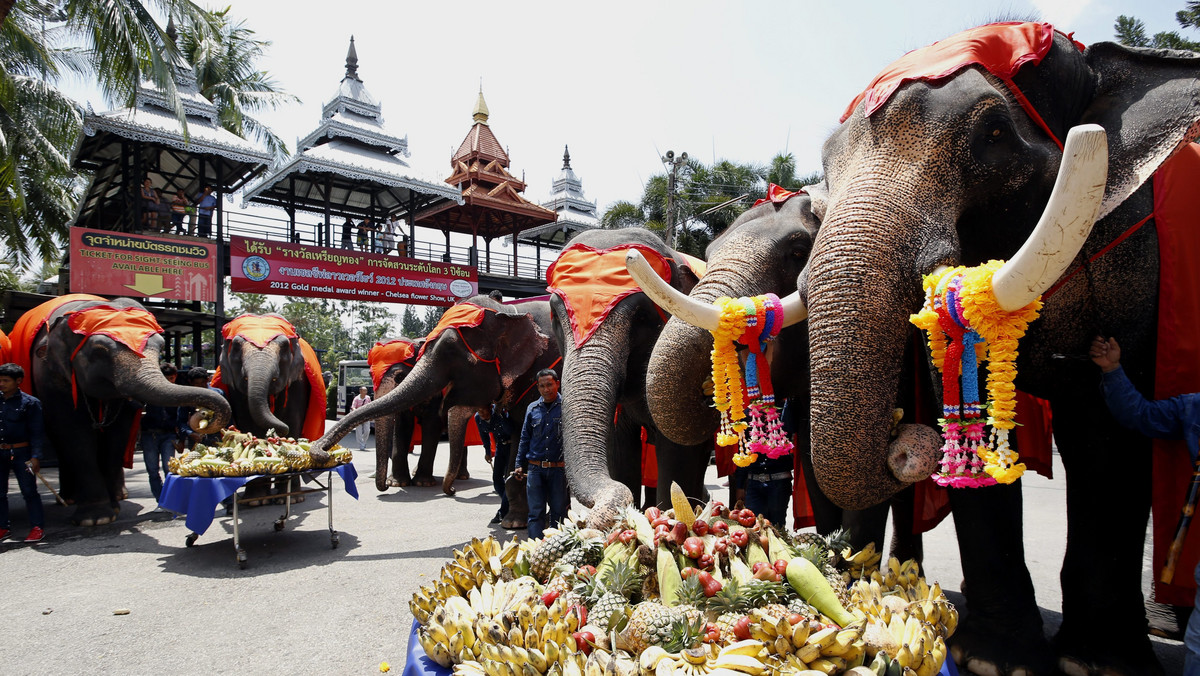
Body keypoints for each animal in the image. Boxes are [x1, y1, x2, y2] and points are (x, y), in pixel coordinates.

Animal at [9, 294, 231, 525]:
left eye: (160, 346)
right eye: (99, 351)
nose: (204, 413)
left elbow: (119, 432)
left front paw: (110, 510)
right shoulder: (48, 375)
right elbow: (71, 430)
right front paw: (96, 519)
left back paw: (118, 495)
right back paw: (70, 499)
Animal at [316, 291, 564, 528]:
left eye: (450, 353)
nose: (321, 453)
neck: (511, 312)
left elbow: (433, 423)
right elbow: (519, 434)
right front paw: (514, 522)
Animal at [787, 21, 1200, 676]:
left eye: (995, 135)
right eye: (827, 163)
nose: (903, 439)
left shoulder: (1141, 260)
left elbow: (1108, 432)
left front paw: (1097, 666)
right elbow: (964, 398)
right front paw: (995, 661)